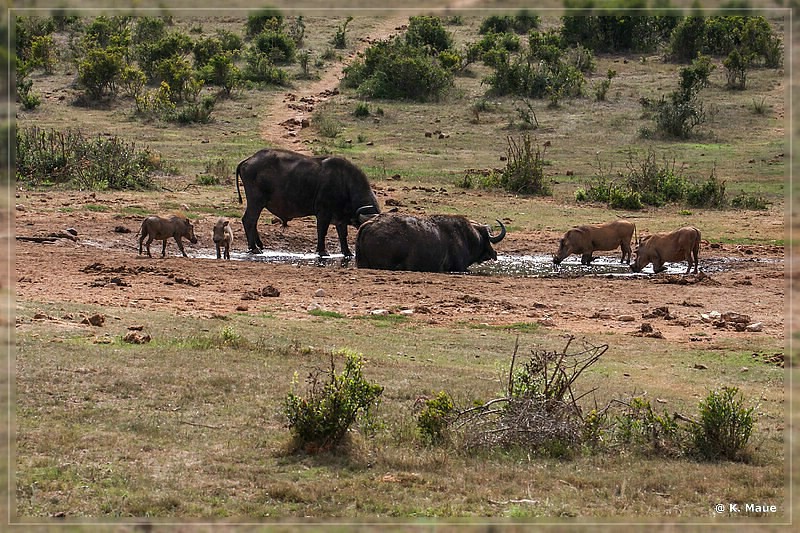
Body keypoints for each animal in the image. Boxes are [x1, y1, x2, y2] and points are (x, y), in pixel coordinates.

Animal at [234, 148, 382, 256]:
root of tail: (248, 160)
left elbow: (342, 235)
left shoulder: (341, 218)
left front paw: (348, 253)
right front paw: (322, 251)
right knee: (249, 220)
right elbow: (322, 231)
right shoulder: (323, 213)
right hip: (256, 200)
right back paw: (254, 248)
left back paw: (259, 245)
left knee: (253, 222)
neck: (345, 184)